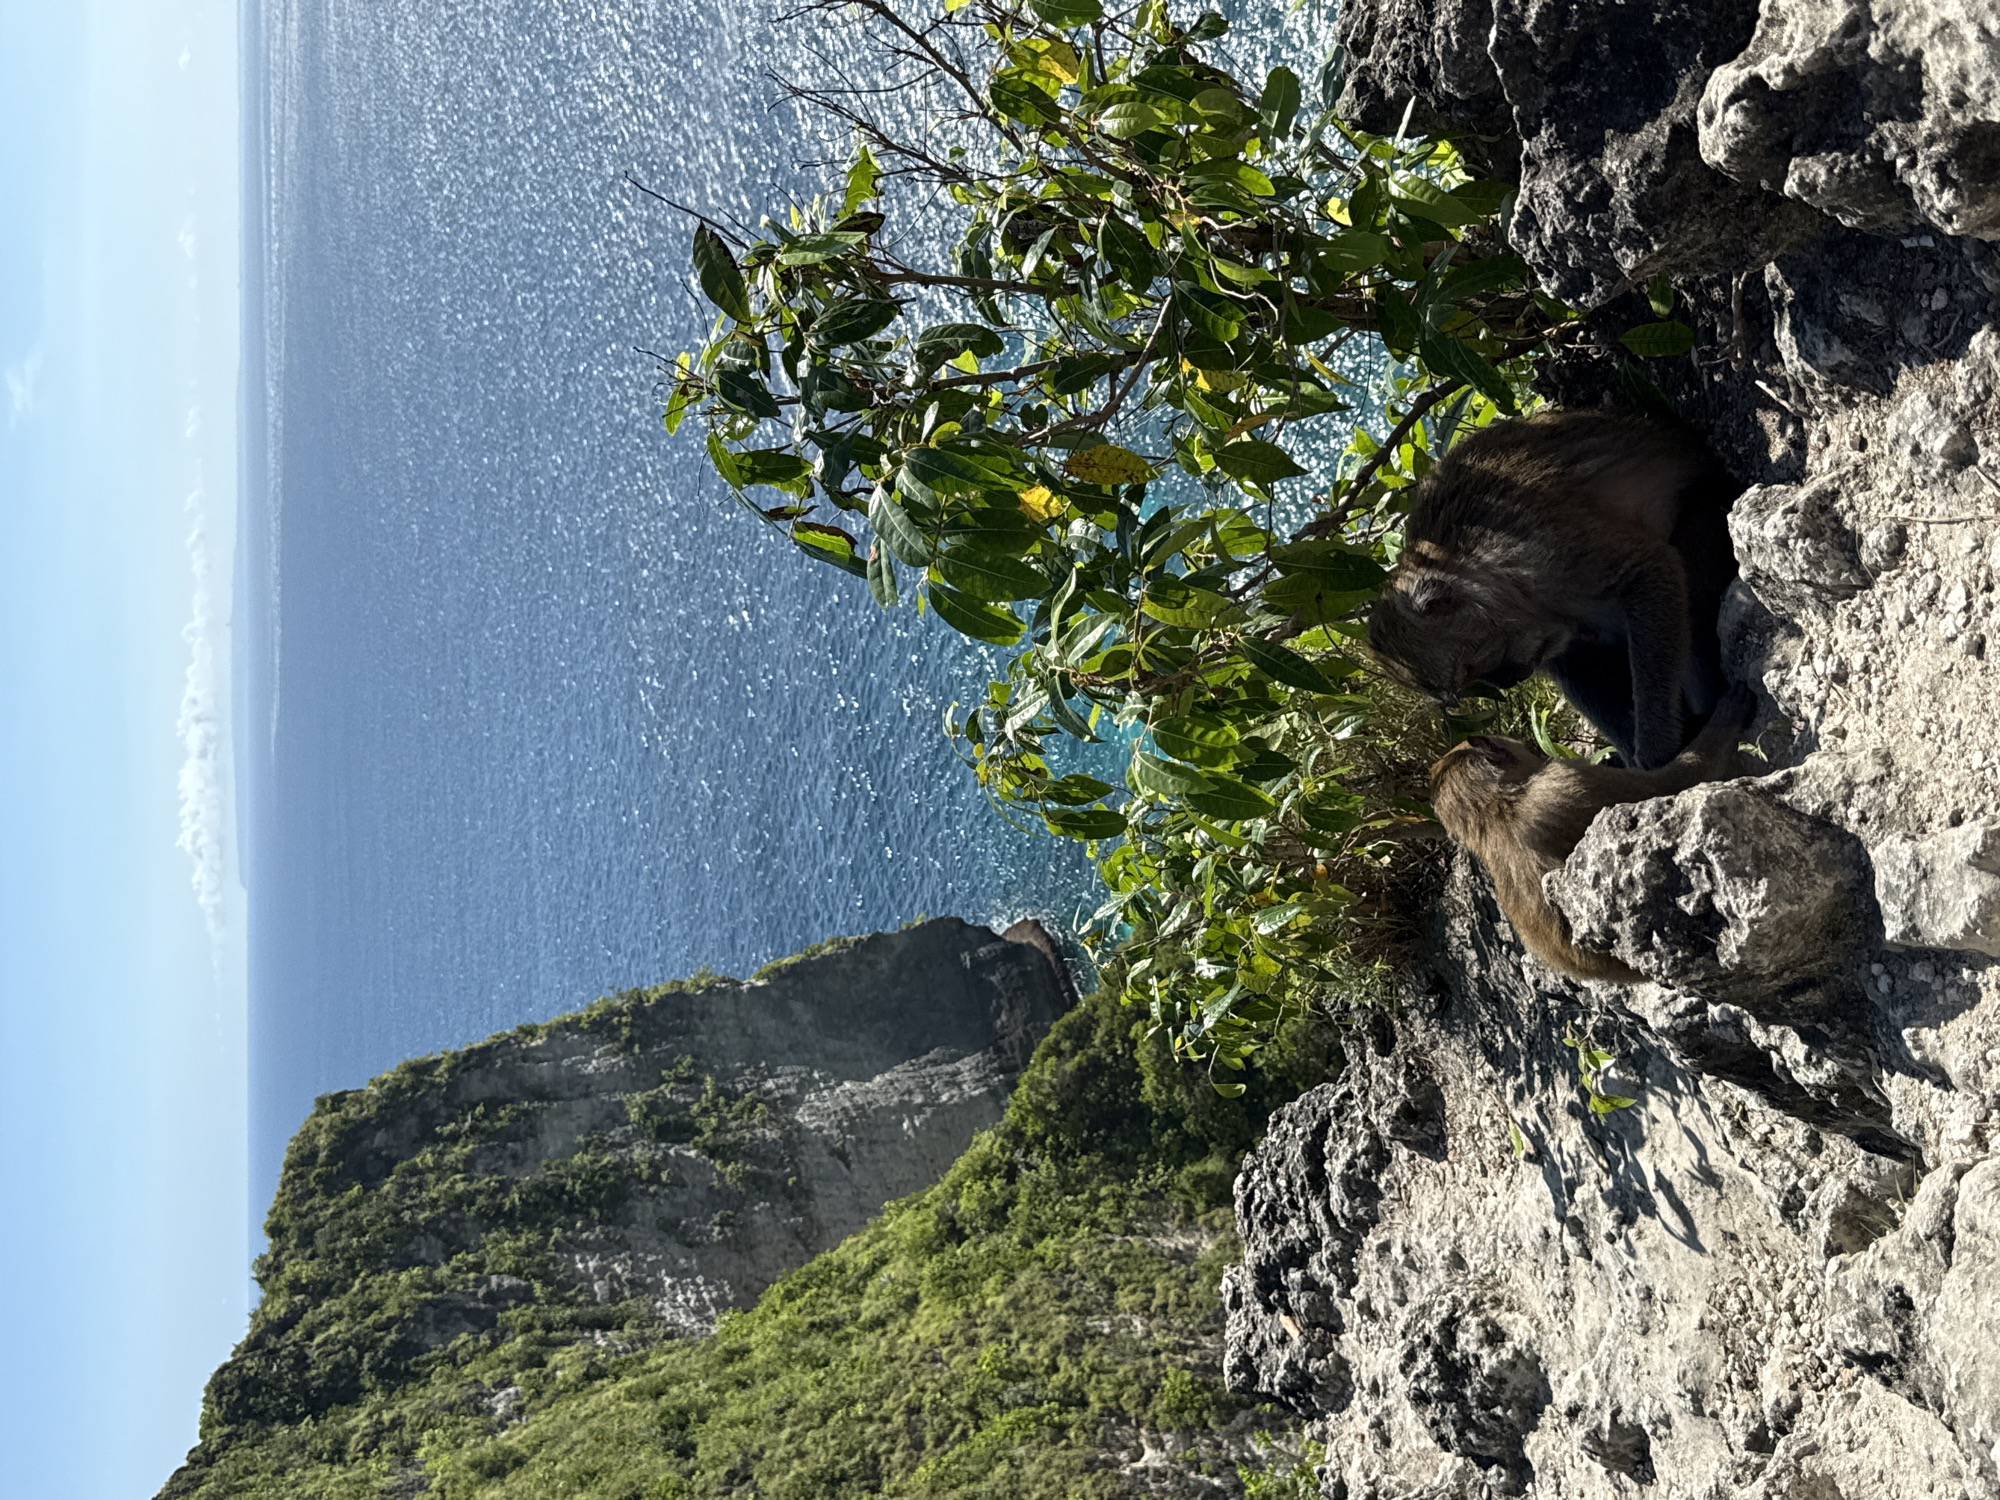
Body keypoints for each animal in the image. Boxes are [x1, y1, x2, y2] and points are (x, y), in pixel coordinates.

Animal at [1367, 410, 1740, 770]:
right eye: (1472, 680)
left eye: (1471, 669)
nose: (1507, 681)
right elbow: (1573, 661)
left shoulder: (1548, 555)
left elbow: (1649, 569)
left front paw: (1657, 749)